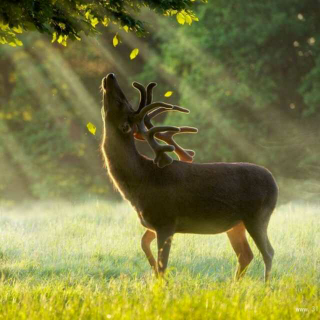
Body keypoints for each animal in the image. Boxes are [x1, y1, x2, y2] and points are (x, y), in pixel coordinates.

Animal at [100, 72, 278, 280]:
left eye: (120, 102)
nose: (110, 76)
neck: (140, 181)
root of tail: (274, 183)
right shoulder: (154, 223)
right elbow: (144, 245)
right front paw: (152, 272)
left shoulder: (166, 220)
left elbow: (163, 265)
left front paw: (160, 281)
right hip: (236, 224)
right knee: (245, 254)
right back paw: (235, 284)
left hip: (258, 215)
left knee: (268, 252)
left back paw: (265, 285)